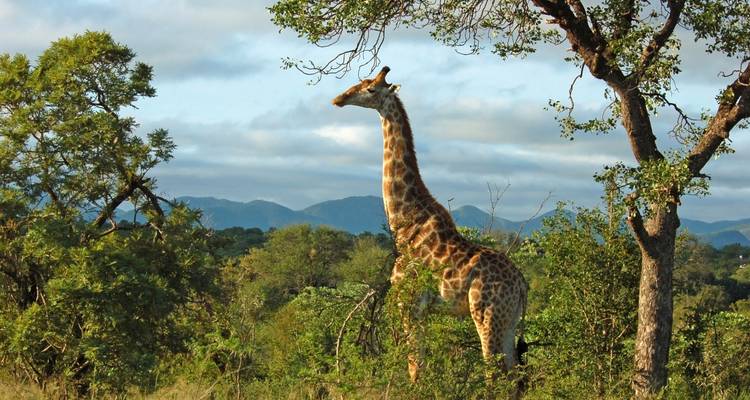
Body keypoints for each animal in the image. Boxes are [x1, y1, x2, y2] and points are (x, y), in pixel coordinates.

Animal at [332, 66, 528, 383]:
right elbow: (419, 365)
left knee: (495, 374)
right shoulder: (422, 310)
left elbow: (415, 367)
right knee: (516, 377)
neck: (404, 223)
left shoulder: (409, 303)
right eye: (360, 82)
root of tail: (523, 284)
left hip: (487, 313)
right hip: (509, 320)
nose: (339, 99)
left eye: (371, 89)